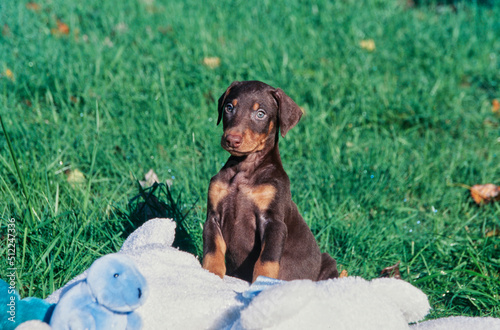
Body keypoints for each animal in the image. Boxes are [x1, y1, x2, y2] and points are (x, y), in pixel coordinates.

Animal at [203, 81, 340, 282]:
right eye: (229, 107)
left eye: (261, 114)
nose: (232, 139)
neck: (244, 169)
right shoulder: (213, 217)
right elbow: (212, 253)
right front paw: (209, 277)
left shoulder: (274, 222)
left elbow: (267, 260)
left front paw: (263, 284)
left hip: (327, 264)